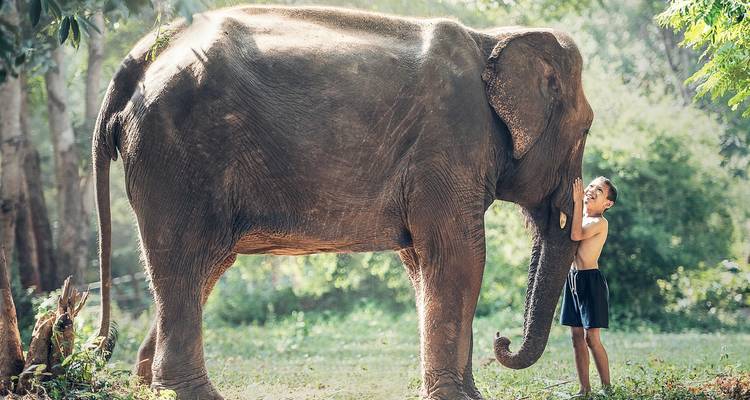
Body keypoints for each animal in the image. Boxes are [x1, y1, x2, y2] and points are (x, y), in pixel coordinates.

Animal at [92, 5, 593, 400]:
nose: (502, 341)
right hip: (177, 154)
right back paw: (189, 394)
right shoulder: (449, 143)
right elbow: (459, 257)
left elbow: (422, 263)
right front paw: (460, 398)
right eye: (587, 127)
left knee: (203, 267)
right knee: (186, 258)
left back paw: (147, 385)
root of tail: (141, 56)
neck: (491, 38)